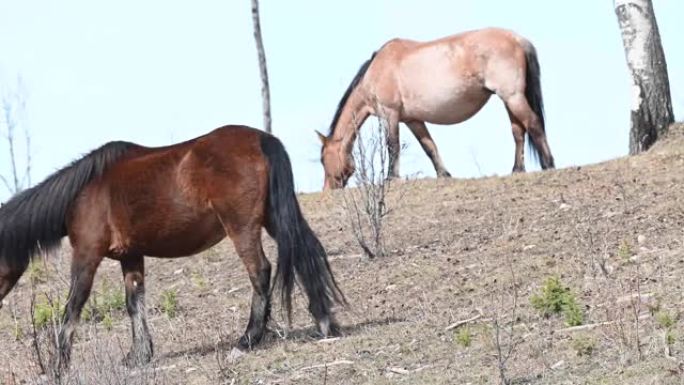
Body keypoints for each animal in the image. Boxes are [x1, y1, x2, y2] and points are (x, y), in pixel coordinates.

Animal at [0, 124, 344, 368]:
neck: (83, 193)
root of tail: (262, 139)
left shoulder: (86, 255)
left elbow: (73, 307)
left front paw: (58, 366)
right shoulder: (131, 256)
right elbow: (134, 304)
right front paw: (138, 356)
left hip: (242, 228)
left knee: (260, 271)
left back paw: (246, 340)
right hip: (275, 220)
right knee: (304, 256)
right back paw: (326, 323)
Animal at [320, 27, 556, 189]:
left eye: (323, 160)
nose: (328, 190)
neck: (377, 70)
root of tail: (517, 39)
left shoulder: (390, 115)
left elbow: (392, 146)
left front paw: (391, 178)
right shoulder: (413, 120)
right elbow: (429, 147)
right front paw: (444, 174)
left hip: (513, 97)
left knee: (533, 124)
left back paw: (548, 164)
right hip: (509, 100)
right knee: (518, 131)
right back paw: (517, 170)